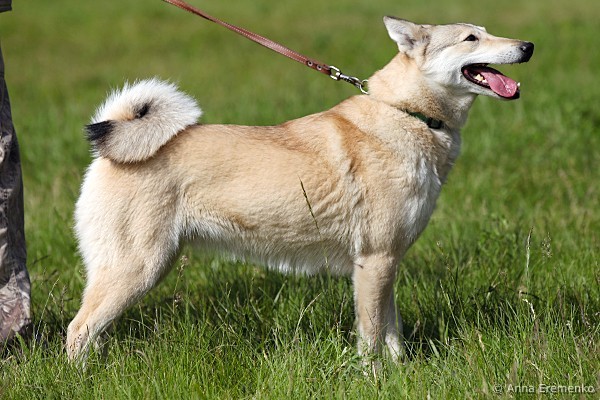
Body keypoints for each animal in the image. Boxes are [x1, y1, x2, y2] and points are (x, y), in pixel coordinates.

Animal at [66, 17, 533, 362]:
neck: (408, 113)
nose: (528, 46)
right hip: (138, 268)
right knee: (77, 330)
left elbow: (393, 333)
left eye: (486, 30)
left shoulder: (387, 262)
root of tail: (108, 148)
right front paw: (374, 381)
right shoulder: (375, 261)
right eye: (471, 38)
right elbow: (371, 338)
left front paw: (402, 374)